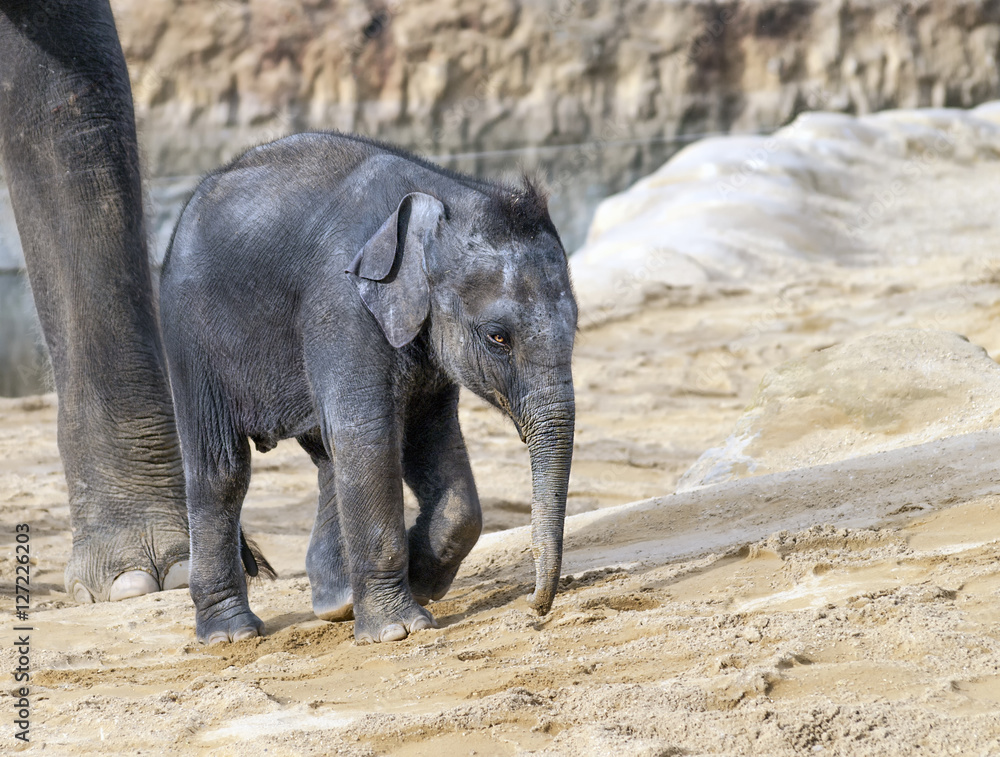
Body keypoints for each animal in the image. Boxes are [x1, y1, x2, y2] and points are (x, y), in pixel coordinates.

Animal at [158, 133, 577, 644]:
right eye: (498, 337)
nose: (537, 607)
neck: (445, 194)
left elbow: (429, 440)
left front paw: (420, 583)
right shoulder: (341, 304)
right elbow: (371, 436)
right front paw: (399, 629)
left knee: (326, 454)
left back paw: (337, 603)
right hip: (189, 334)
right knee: (221, 467)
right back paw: (231, 634)